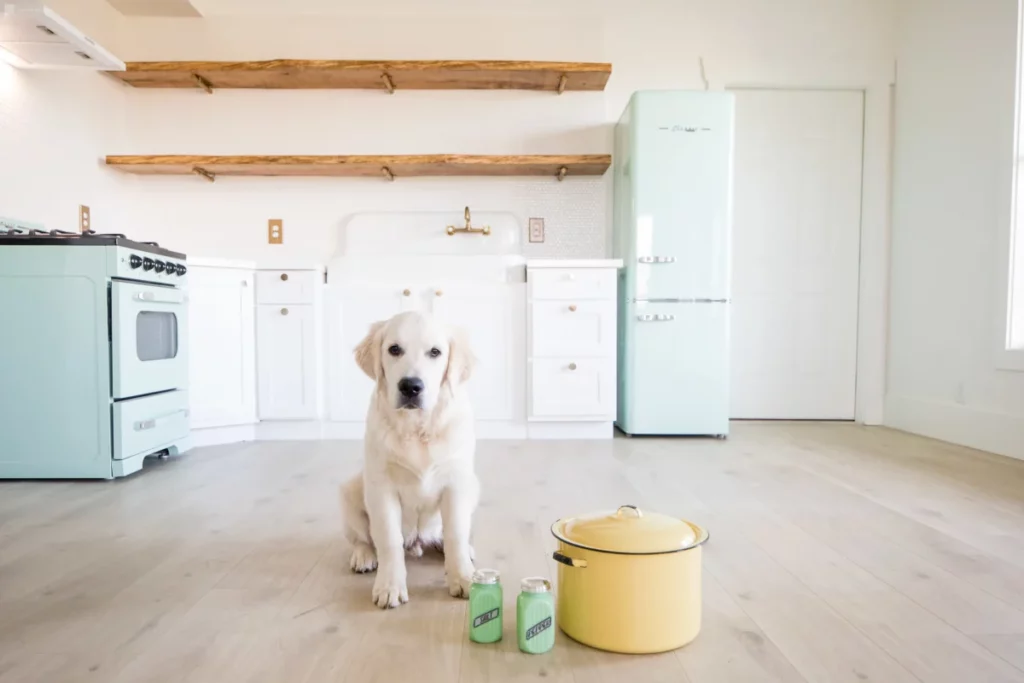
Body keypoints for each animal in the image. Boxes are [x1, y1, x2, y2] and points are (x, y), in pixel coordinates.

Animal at [337, 309, 477, 610]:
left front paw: (463, 578)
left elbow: (456, 534)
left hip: (474, 487)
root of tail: (417, 541)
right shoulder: (381, 488)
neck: (417, 428)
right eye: (394, 349)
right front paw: (389, 587)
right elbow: (388, 539)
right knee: (362, 539)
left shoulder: (457, 483)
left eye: (435, 352)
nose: (411, 386)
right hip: (351, 490)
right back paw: (364, 556)